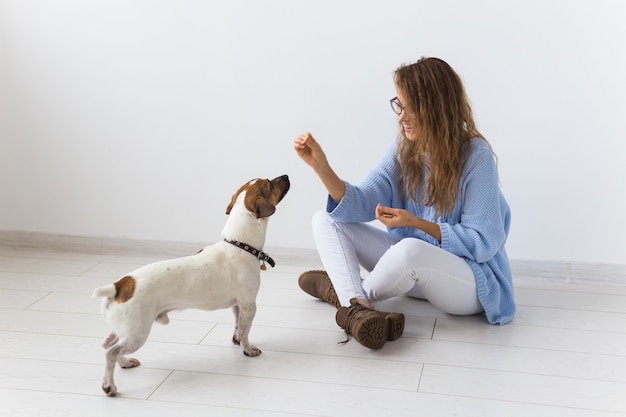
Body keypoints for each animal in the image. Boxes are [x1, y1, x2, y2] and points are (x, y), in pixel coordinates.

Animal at [92, 175, 290, 396]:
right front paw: (247, 349)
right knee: (111, 352)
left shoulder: (237, 305)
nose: (286, 175)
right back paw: (109, 386)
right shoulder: (249, 305)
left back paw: (125, 363)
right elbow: (246, 331)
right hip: (137, 332)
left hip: (125, 328)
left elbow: (238, 326)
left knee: (108, 344)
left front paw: (237, 339)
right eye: (271, 183)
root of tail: (119, 286)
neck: (239, 244)